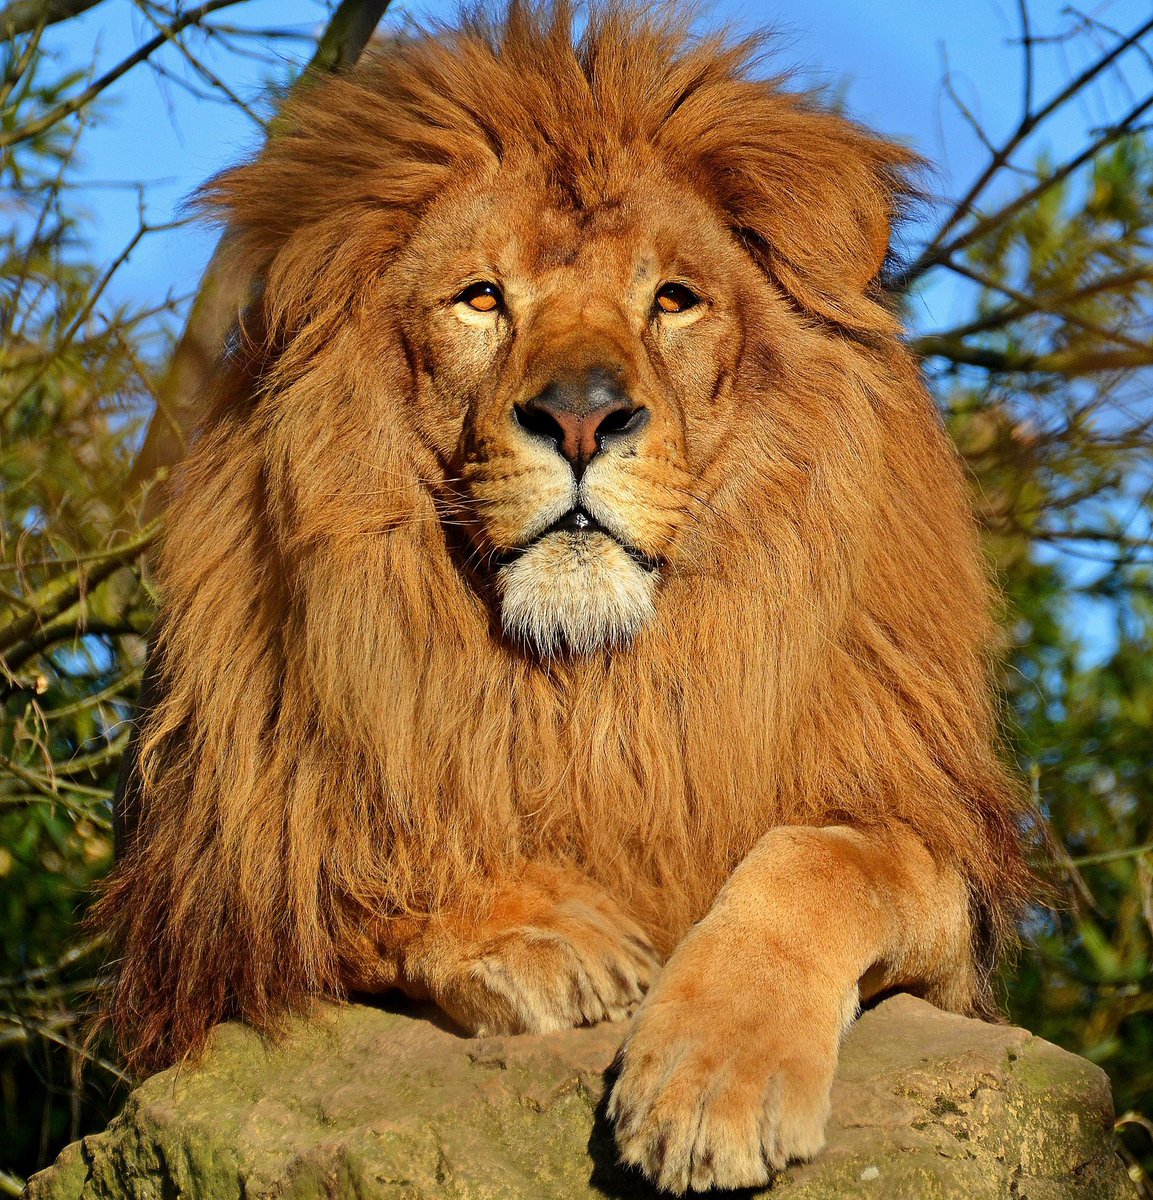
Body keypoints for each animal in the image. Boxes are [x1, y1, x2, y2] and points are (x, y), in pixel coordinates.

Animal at [102, 3, 1032, 1193]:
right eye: (482, 299)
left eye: (672, 300)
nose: (582, 417)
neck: (590, 693)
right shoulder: (222, 898)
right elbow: (350, 873)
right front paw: (544, 936)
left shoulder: (934, 881)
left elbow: (825, 860)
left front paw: (714, 1078)